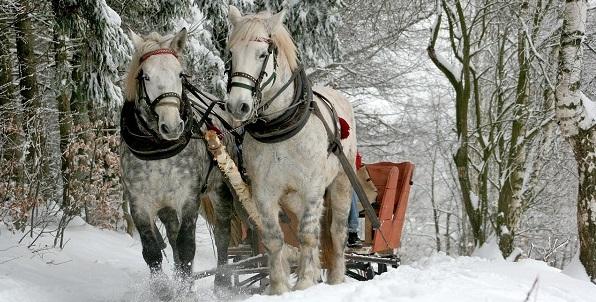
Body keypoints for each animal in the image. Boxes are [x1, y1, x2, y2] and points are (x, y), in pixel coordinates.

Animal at [226, 5, 356, 294]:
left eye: (262, 54)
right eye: (231, 54)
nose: (237, 106)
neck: (280, 128)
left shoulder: (312, 189)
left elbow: (307, 235)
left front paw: (305, 282)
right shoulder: (264, 193)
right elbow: (275, 238)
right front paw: (278, 287)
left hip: (341, 183)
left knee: (336, 231)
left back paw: (336, 278)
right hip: (293, 198)